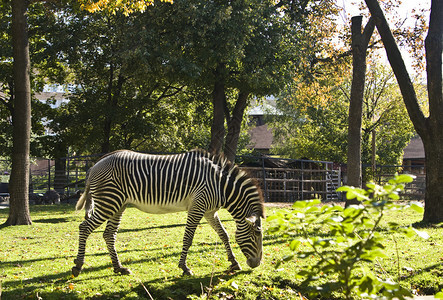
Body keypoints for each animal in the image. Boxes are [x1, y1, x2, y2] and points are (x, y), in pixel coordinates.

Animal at [72, 149, 264, 276]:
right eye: (257, 233)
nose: (257, 264)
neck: (220, 186)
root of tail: (95, 164)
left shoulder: (209, 211)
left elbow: (224, 234)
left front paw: (233, 262)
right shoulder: (197, 207)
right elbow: (188, 238)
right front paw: (184, 267)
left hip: (118, 204)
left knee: (109, 234)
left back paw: (119, 267)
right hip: (108, 202)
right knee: (84, 228)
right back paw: (78, 265)